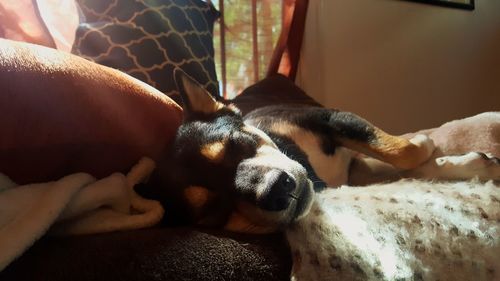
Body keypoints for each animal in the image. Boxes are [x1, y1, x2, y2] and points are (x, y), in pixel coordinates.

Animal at [146, 71, 436, 231]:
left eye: (237, 143)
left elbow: (399, 150)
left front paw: (425, 143)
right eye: (214, 210)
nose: (276, 189)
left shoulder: (330, 117)